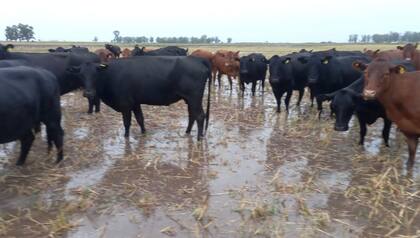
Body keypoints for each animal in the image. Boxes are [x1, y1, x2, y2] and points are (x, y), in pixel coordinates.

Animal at [71, 56, 213, 140]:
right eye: (81, 75)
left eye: (96, 74)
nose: (88, 93)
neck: (110, 74)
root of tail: (197, 59)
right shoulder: (135, 103)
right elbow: (140, 119)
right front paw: (144, 133)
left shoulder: (125, 105)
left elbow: (127, 123)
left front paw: (126, 137)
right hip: (189, 99)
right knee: (192, 115)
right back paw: (187, 132)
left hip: (194, 98)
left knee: (200, 116)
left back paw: (199, 138)